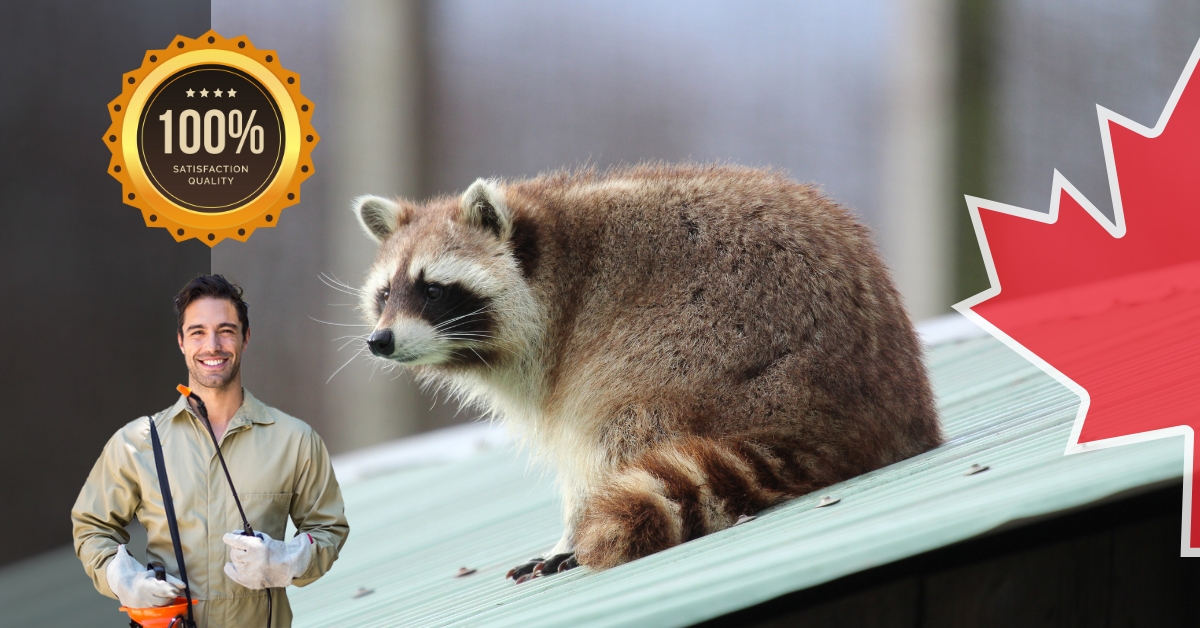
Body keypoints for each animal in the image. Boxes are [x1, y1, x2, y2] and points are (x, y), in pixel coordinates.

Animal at [352, 164, 941, 581]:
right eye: (385, 294)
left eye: (432, 290)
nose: (380, 341)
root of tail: (845, 422)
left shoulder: (569, 343)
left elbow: (587, 442)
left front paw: (570, 528)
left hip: (707, 340)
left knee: (624, 414)